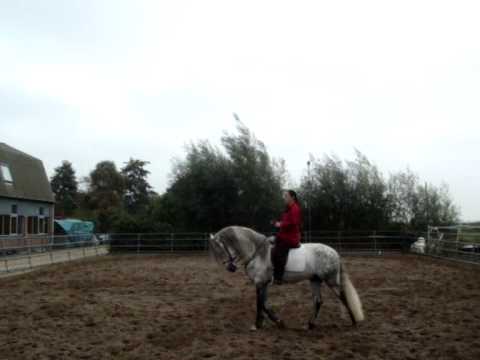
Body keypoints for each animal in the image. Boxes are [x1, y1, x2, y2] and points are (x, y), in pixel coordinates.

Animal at [209, 226, 364, 330]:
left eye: (221, 249)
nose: (230, 268)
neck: (257, 252)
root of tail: (334, 252)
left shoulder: (259, 283)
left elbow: (260, 304)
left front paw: (258, 325)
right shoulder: (263, 283)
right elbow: (264, 304)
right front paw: (273, 322)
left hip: (330, 280)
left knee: (343, 297)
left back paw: (353, 321)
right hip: (315, 280)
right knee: (319, 301)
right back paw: (310, 324)